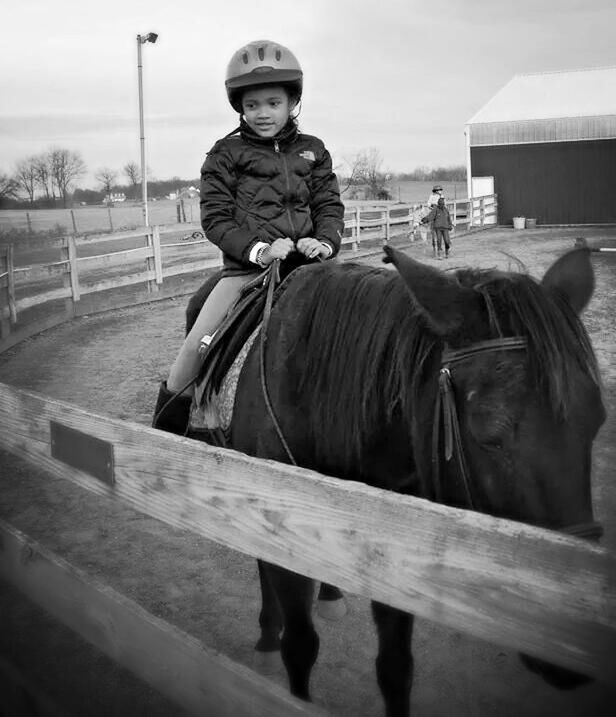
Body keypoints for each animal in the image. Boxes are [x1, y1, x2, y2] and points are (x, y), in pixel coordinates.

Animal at [185, 243, 604, 712]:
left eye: (596, 421)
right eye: (489, 434)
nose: (567, 649)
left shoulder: (391, 549)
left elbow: (396, 668)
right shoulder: (273, 520)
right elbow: (300, 645)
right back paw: (266, 635)